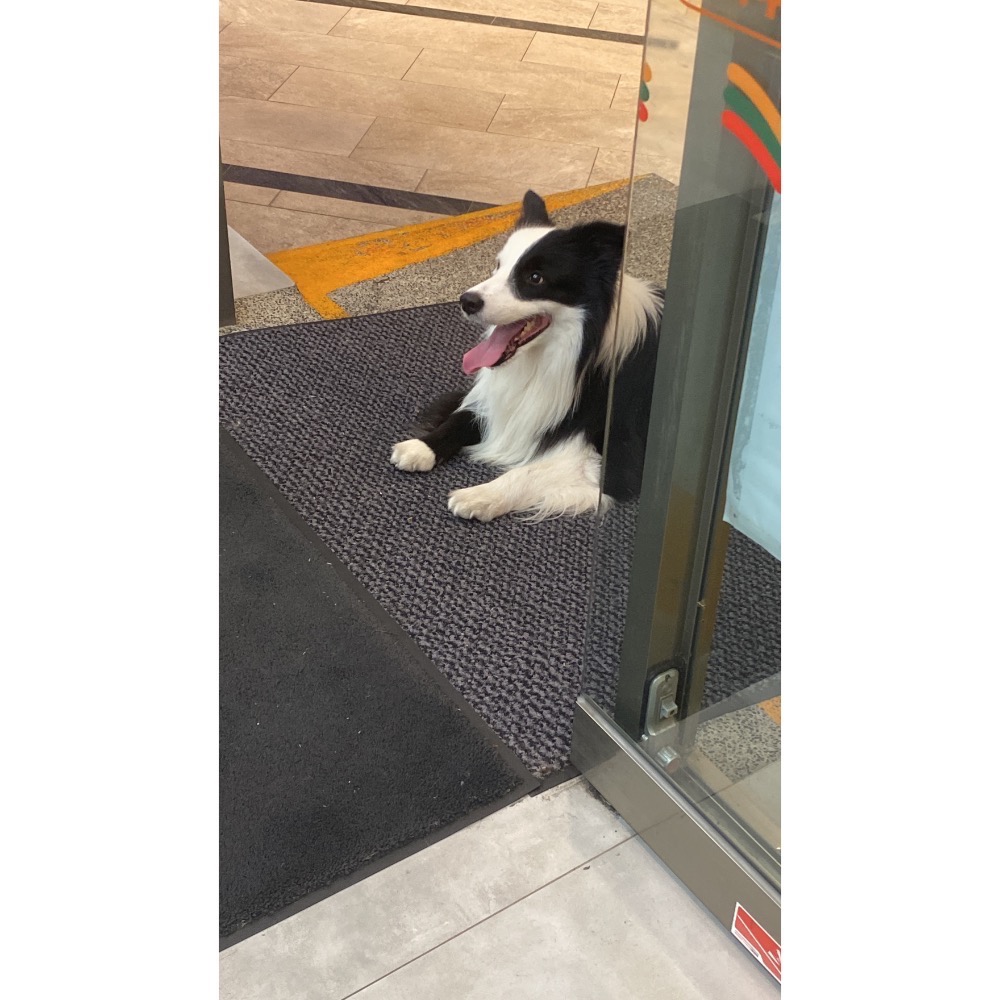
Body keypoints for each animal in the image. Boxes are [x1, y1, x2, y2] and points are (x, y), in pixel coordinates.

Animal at [390, 190, 662, 522]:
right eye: (497, 266)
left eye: (535, 278)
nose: (466, 301)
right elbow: (462, 417)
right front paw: (420, 447)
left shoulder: (614, 464)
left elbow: (528, 472)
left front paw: (480, 495)